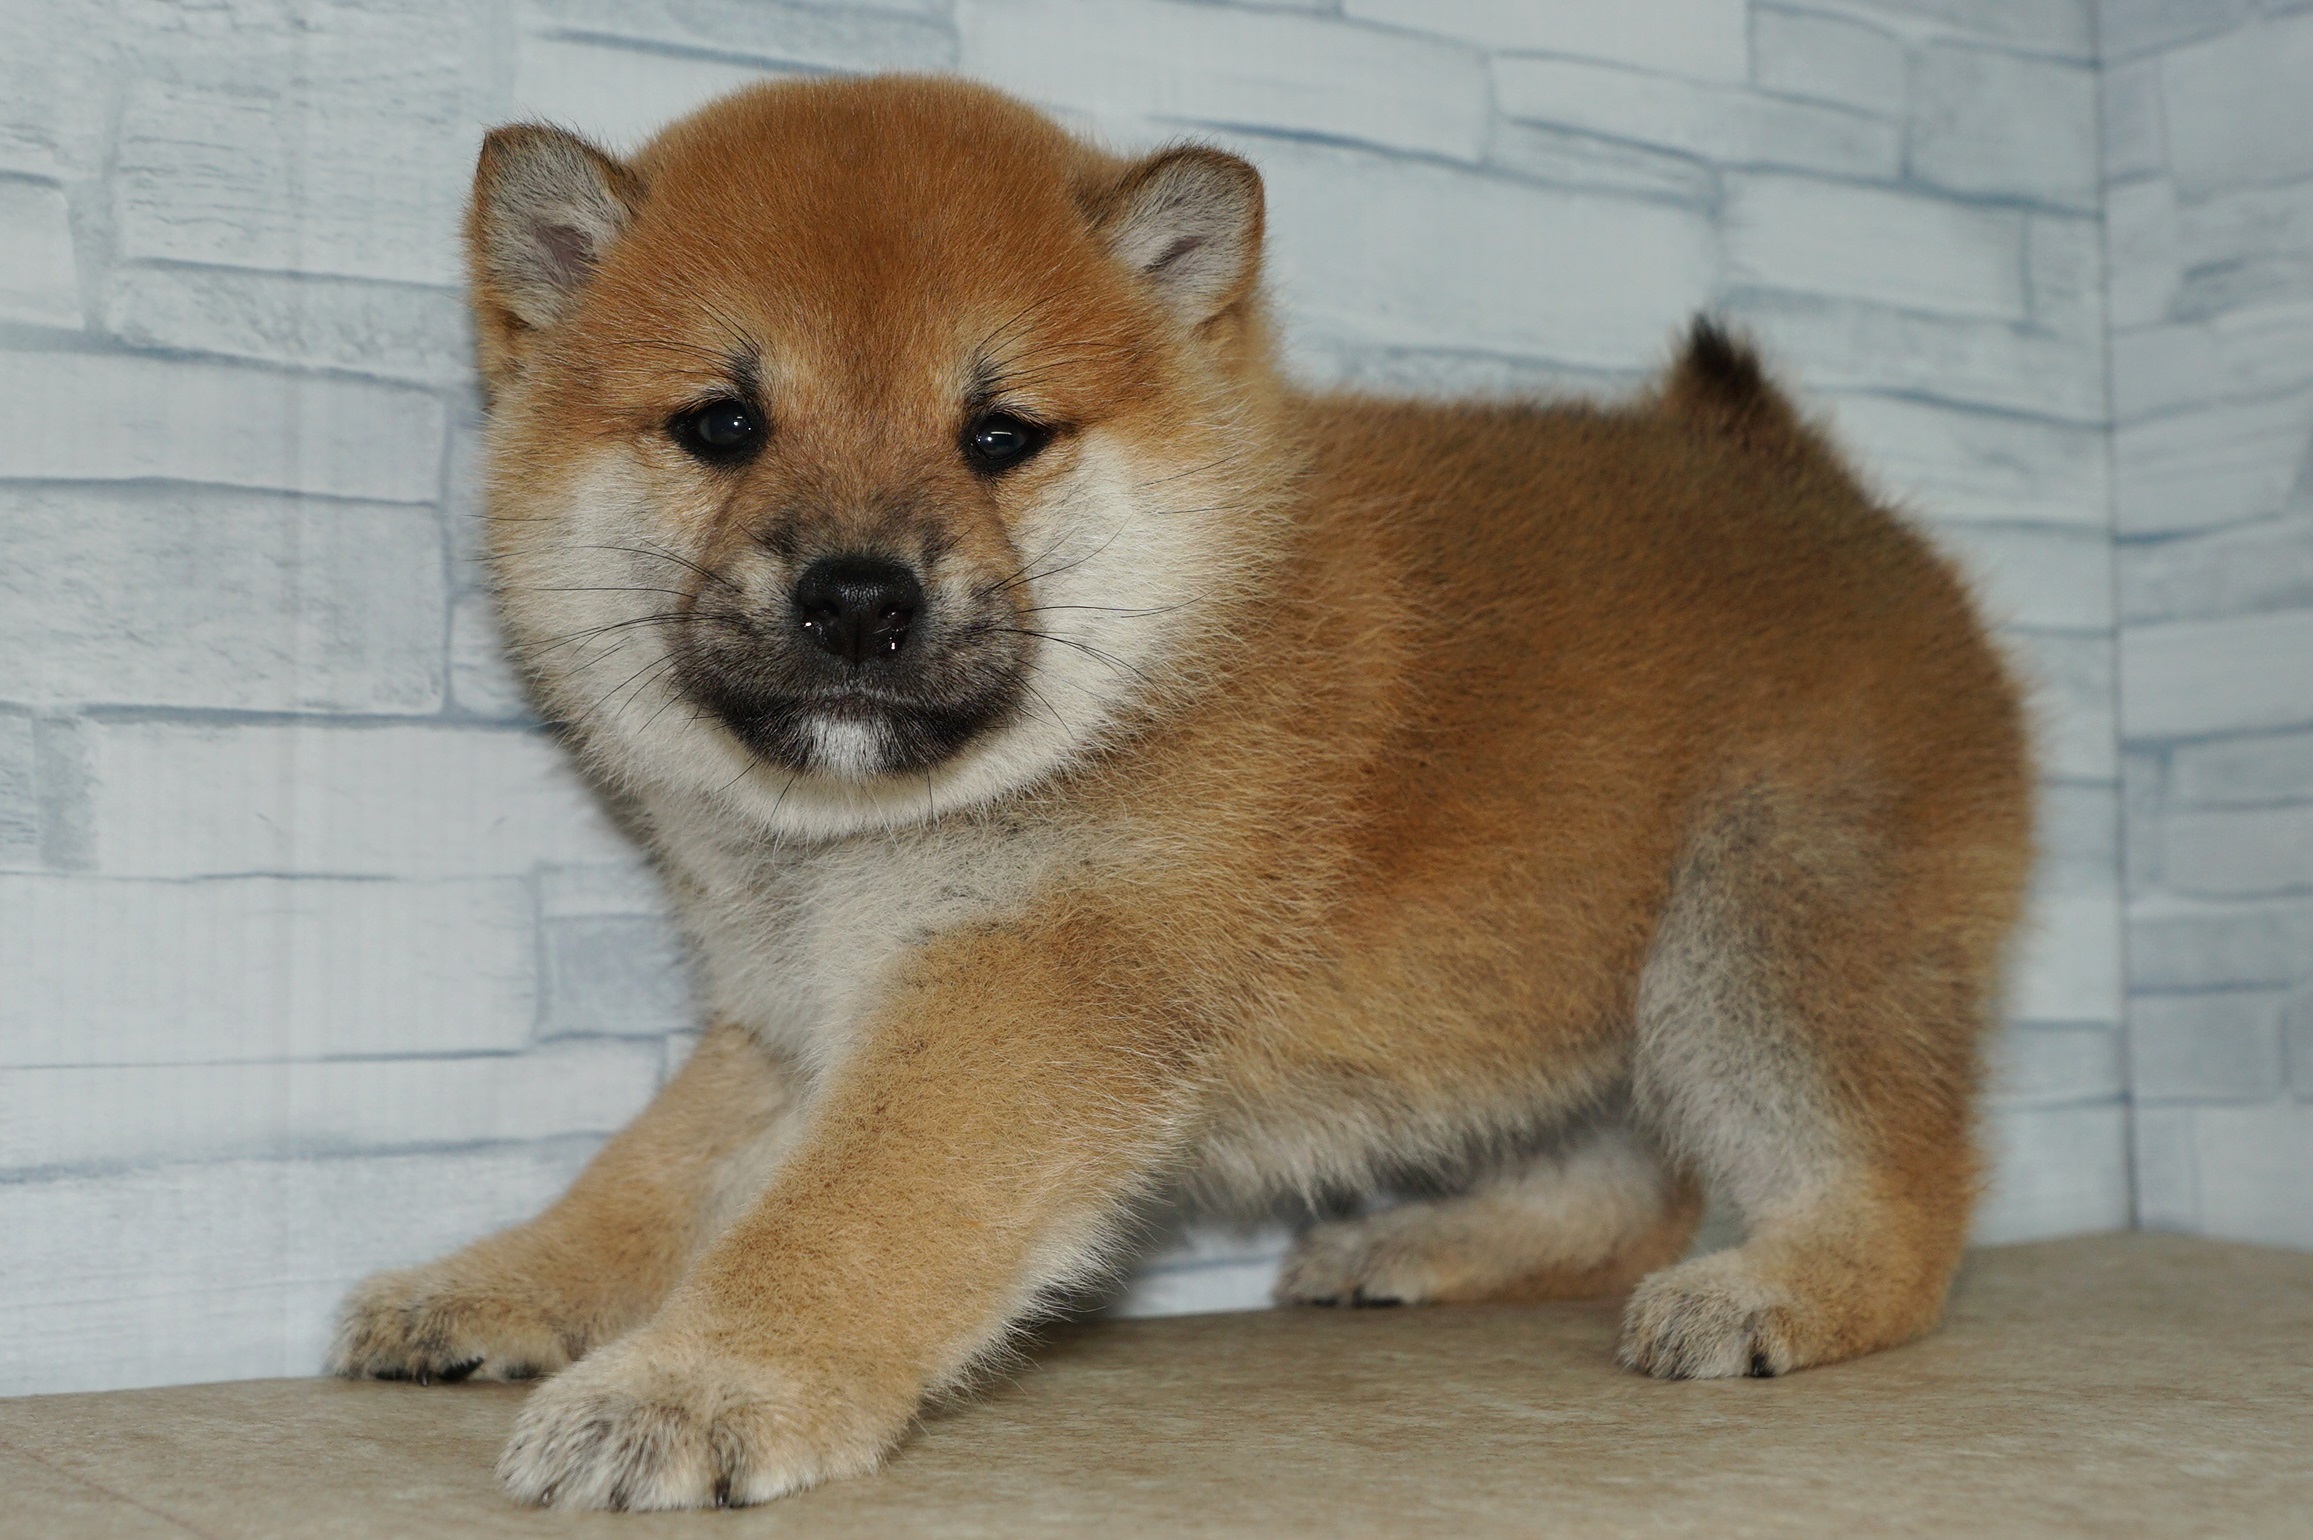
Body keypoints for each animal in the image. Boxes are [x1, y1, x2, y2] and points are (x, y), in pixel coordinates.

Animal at [326, 78, 2026, 1507]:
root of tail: (1825, 492)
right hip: (1597, 986)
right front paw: (497, 1282)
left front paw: (694, 1386)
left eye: (999, 435)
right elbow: (657, 1176)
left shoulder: (1024, 984)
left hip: (1762, 937)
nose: (860, 596)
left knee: (1900, 1191)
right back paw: (1432, 1242)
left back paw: (1779, 1287)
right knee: (1627, 1183)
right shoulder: (798, 1015)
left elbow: (844, 1212)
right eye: (723, 424)